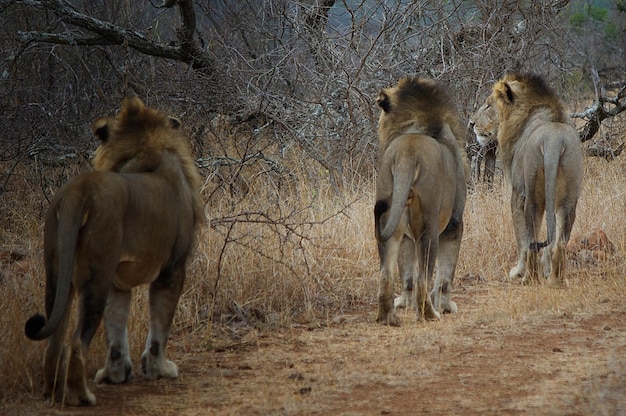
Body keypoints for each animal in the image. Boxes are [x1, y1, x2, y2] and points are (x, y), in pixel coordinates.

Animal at [24, 97, 204, 406]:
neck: (145, 153)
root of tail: (79, 190)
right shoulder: (173, 270)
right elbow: (160, 326)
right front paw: (159, 370)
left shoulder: (117, 282)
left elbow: (116, 331)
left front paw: (115, 375)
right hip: (95, 276)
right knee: (77, 342)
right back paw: (81, 396)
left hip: (57, 272)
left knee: (55, 339)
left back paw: (53, 392)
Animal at [372, 76, 466, 326]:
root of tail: (407, 153)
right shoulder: (455, 224)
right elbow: (445, 276)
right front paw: (446, 306)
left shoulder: (405, 234)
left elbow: (407, 275)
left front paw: (405, 303)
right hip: (429, 227)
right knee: (424, 278)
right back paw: (430, 313)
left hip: (389, 218)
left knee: (386, 274)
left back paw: (389, 317)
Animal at [470, 72, 584, 286]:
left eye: (488, 105)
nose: (471, 124)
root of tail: (554, 141)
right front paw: (546, 269)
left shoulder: (517, 193)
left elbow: (520, 236)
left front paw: (518, 270)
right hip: (569, 199)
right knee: (560, 241)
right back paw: (555, 280)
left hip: (532, 196)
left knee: (531, 240)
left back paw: (528, 277)